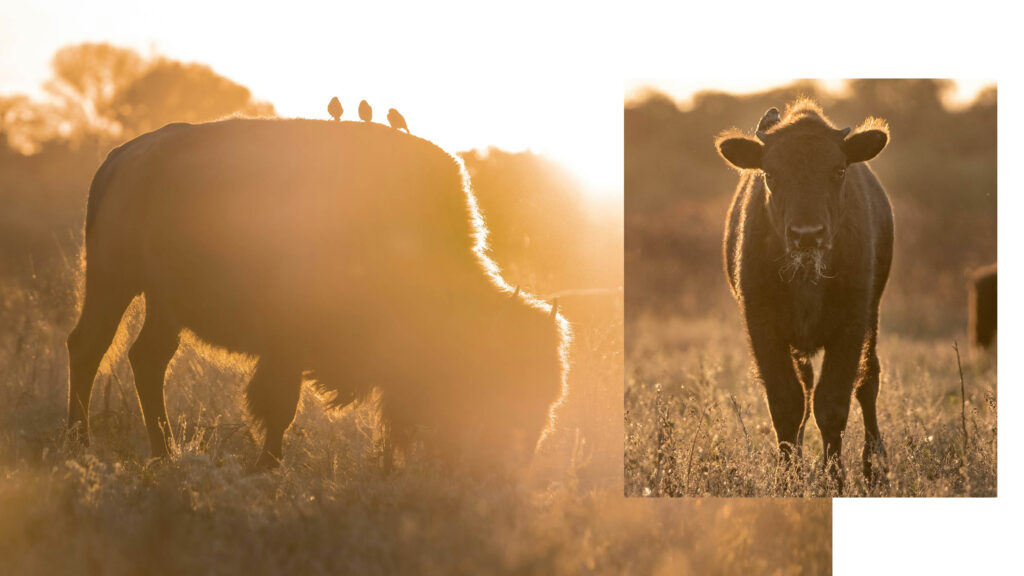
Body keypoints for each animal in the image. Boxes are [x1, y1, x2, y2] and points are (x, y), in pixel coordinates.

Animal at [66, 118, 571, 469]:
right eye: (496, 379)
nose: (516, 459)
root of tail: (121, 158)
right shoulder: (286, 346)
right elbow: (280, 407)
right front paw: (266, 468)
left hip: (161, 302)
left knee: (147, 359)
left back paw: (164, 454)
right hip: (114, 281)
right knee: (88, 347)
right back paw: (80, 443)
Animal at [716, 99, 893, 491]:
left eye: (838, 170)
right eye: (770, 174)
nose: (807, 234)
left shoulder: (851, 326)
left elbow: (833, 404)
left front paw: (835, 479)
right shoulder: (763, 327)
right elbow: (787, 404)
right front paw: (788, 478)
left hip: (873, 317)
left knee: (868, 382)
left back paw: (875, 467)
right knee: (806, 390)